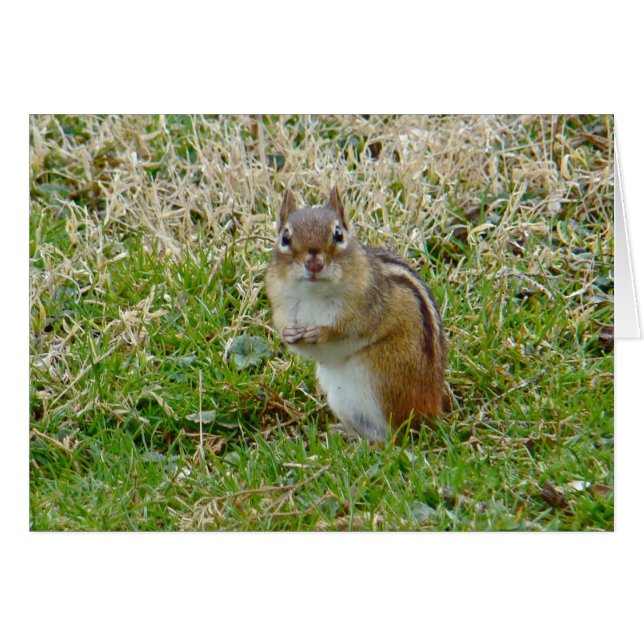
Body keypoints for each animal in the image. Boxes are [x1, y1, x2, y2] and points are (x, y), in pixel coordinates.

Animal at [265, 186, 447, 442]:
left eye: (338, 234)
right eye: (285, 238)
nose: (314, 264)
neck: (314, 294)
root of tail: (432, 409)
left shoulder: (368, 306)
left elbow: (348, 329)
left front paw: (321, 333)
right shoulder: (281, 304)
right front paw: (289, 334)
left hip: (382, 377)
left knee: (394, 437)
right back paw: (346, 434)